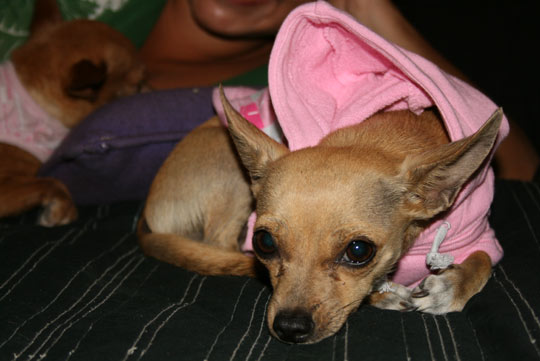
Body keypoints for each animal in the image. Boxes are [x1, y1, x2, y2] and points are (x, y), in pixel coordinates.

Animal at [135, 0, 506, 344]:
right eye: (263, 242)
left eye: (358, 251)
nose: (289, 328)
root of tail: (147, 217)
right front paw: (383, 293)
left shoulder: (478, 235)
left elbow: (484, 260)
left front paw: (450, 287)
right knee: (218, 244)